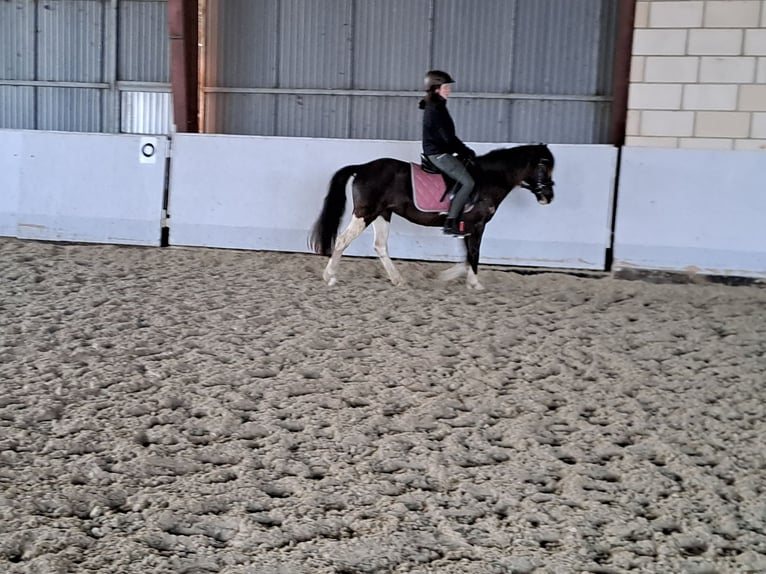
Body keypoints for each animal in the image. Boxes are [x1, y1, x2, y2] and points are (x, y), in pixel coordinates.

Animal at [308, 142, 556, 290]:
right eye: (543, 166)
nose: (548, 196)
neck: (488, 179)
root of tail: (362, 167)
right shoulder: (477, 225)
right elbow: (473, 254)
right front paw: (474, 284)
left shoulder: (464, 227)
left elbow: (466, 256)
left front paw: (448, 277)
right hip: (365, 213)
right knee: (343, 240)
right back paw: (330, 277)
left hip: (382, 214)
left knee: (380, 246)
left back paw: (398, 280)